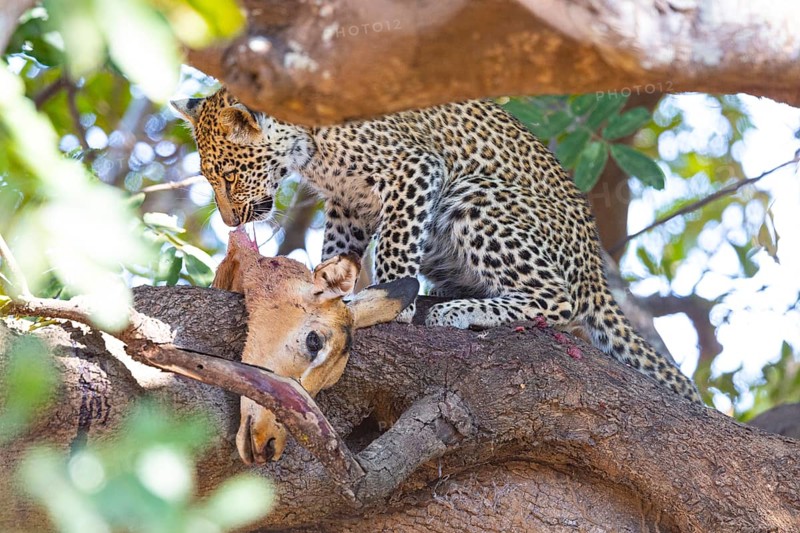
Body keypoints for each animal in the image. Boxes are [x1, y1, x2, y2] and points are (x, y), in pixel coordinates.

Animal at [172, 88, 702, 403]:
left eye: (228, 175)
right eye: (210, 177)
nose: (228, 220)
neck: (309, 147)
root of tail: (594, 266)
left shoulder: (413, 168)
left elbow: (395, 243)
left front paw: (394, 302)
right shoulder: (349, 201)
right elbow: (339, 252)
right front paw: (335, 290)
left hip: (472, 194)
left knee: (559, 300)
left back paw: (455, 312)